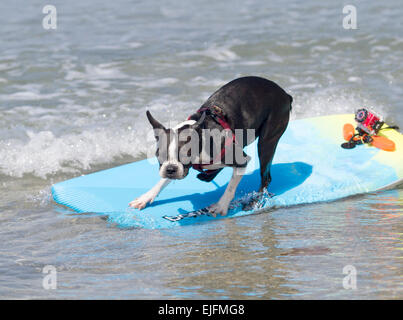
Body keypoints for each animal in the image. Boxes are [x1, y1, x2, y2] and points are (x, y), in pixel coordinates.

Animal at [131, 76, 292, 216]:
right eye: (159, 156)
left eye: (186, 155)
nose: (170, 169)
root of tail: (285, 94)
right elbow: (162, 182)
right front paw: (146, 197)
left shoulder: (241, 160)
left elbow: (230, 188)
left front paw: (221, 205)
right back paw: (207, 175)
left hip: (267, 140)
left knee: (265, 177)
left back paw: (255, 201)